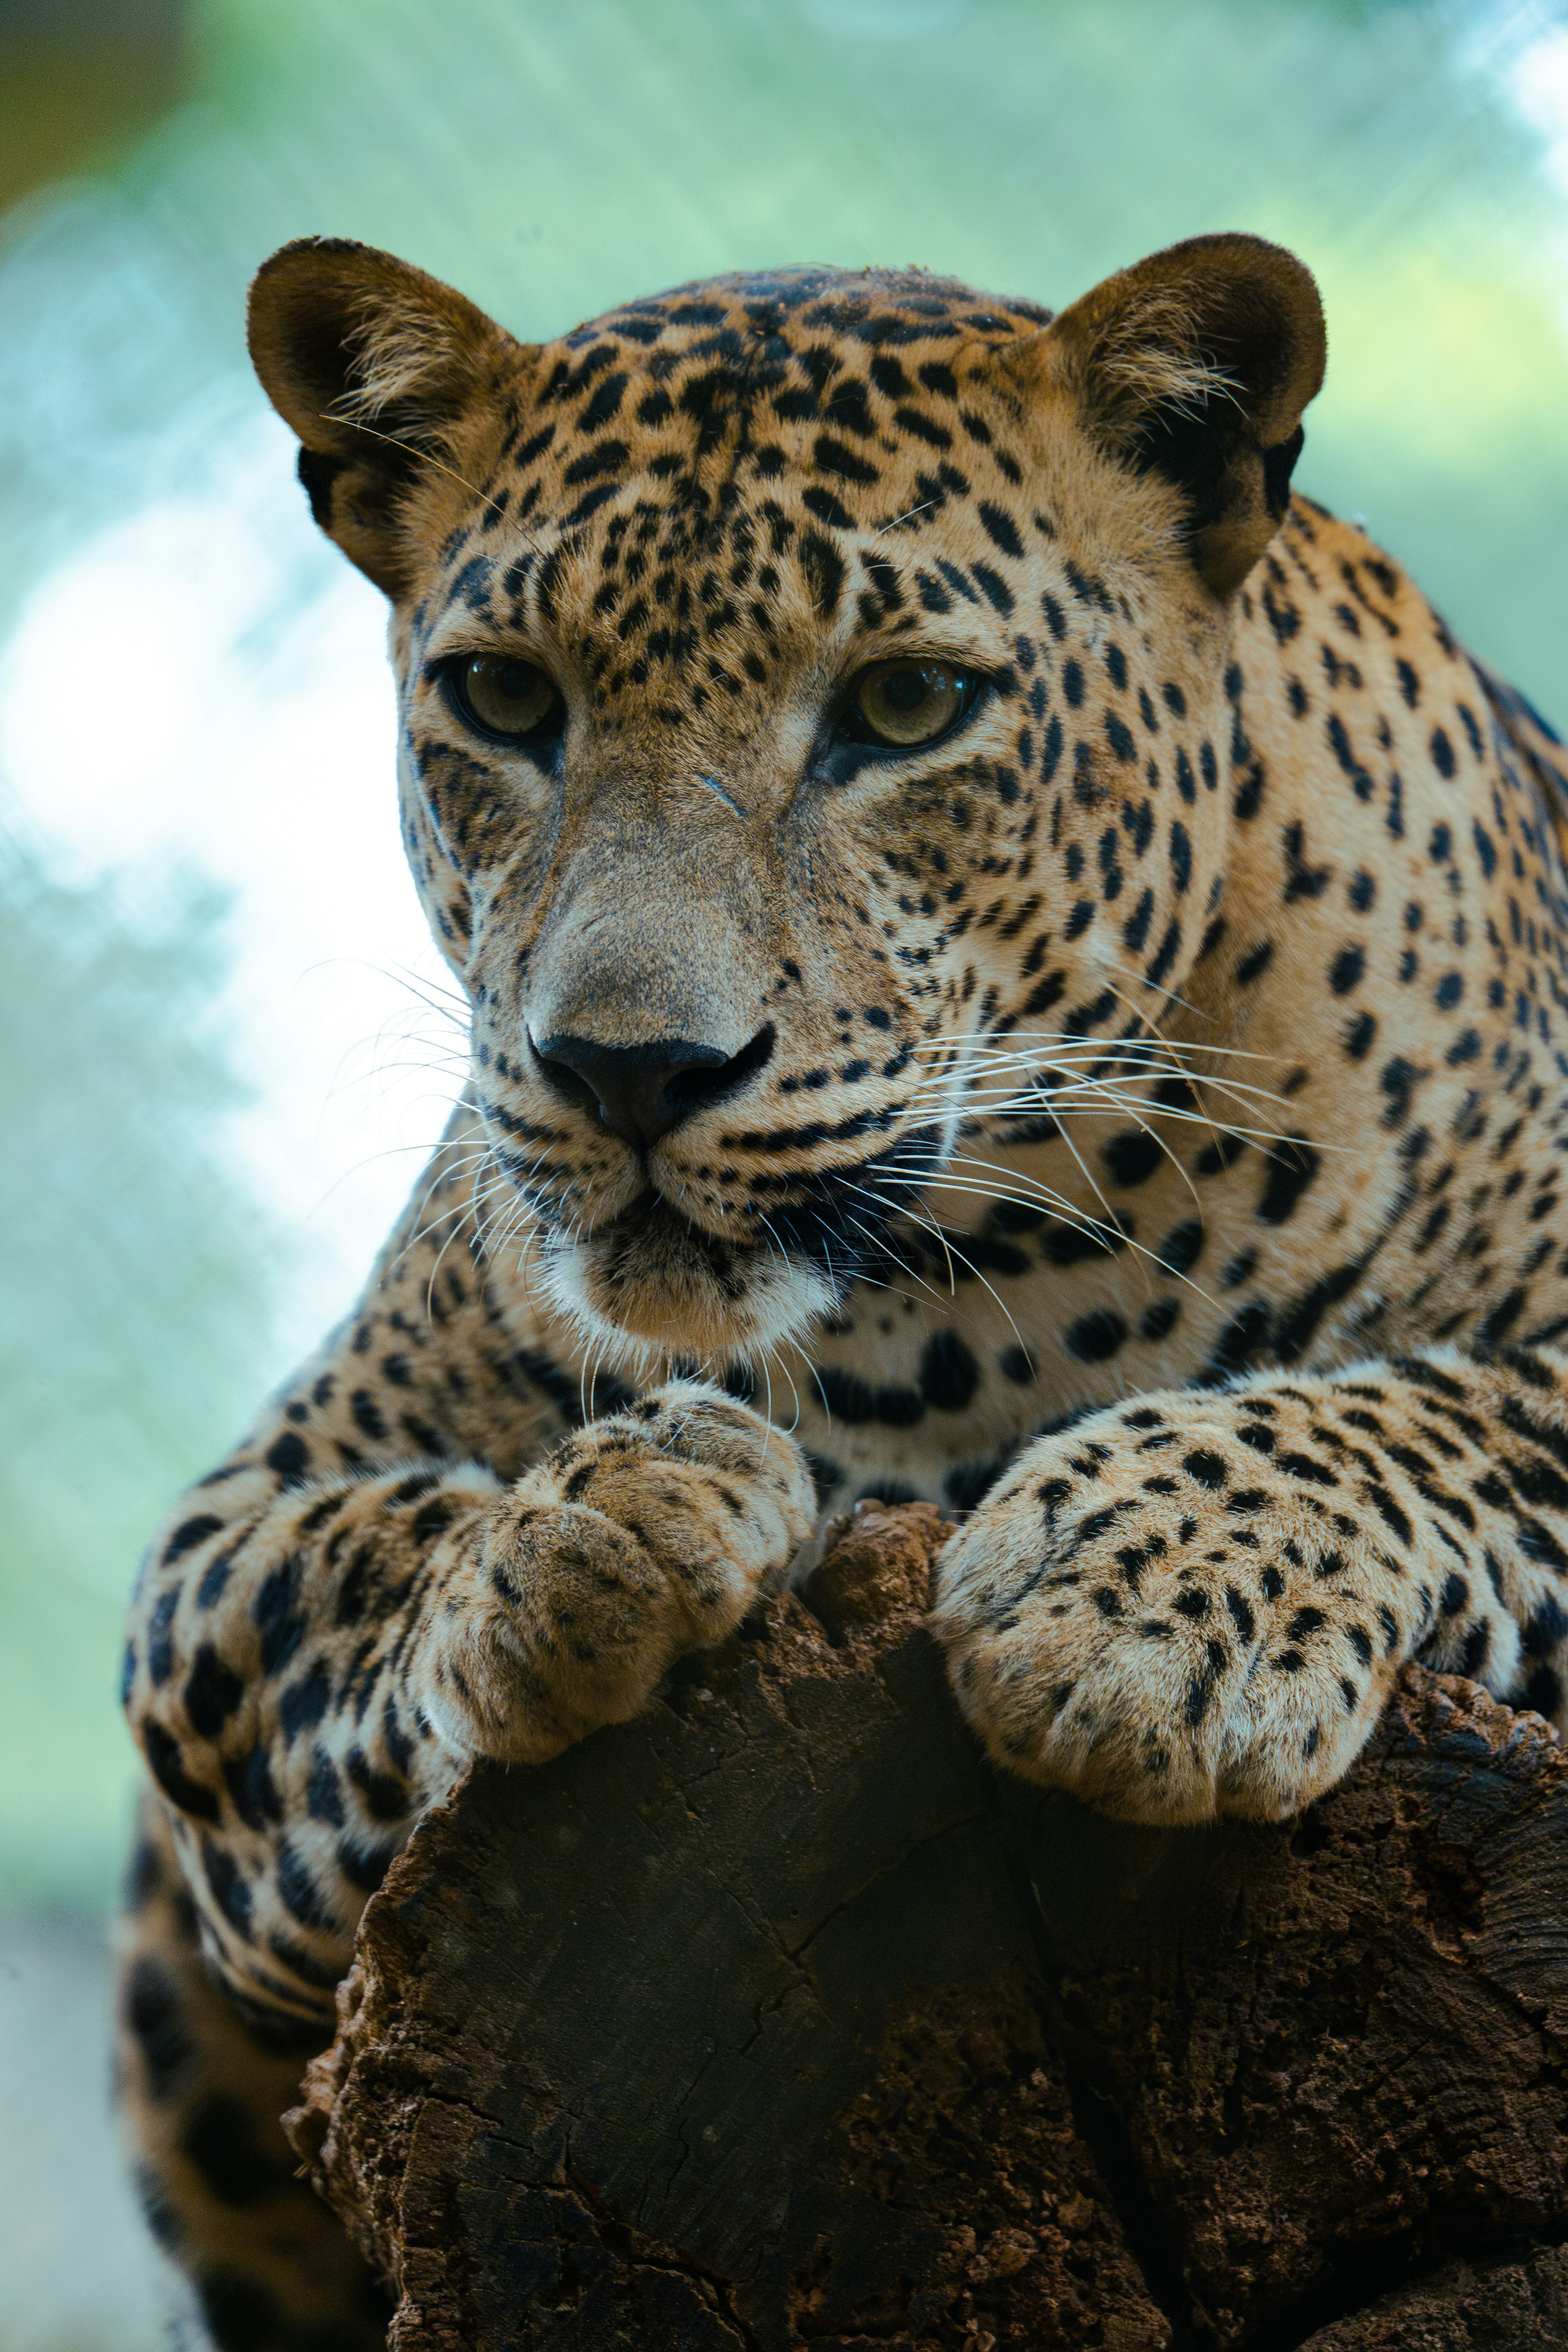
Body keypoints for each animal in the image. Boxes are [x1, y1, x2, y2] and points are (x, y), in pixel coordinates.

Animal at [116, 227, 1568, 2347]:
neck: (963, 1307)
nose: (630, 1071)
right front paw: (586, 1526)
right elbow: (345, 1566)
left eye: (903, 707)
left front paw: (1142, 1606)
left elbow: (1443, 1405)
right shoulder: (229, 1534)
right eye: (502, 696)